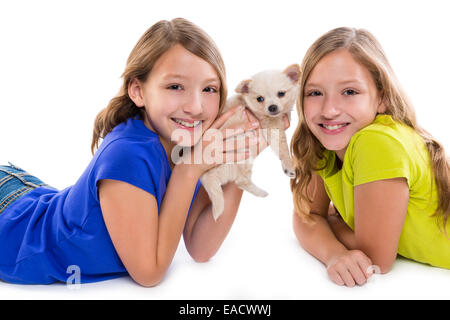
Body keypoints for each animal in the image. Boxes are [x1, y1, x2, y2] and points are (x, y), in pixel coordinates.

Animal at [200, 64, 298, 220]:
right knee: (241, 181)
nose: (272, 107)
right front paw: (289, 165)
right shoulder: (273, 126)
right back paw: (261, 192)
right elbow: (283, 148)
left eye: (281, 94)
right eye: (260, 99)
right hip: (243, 152)